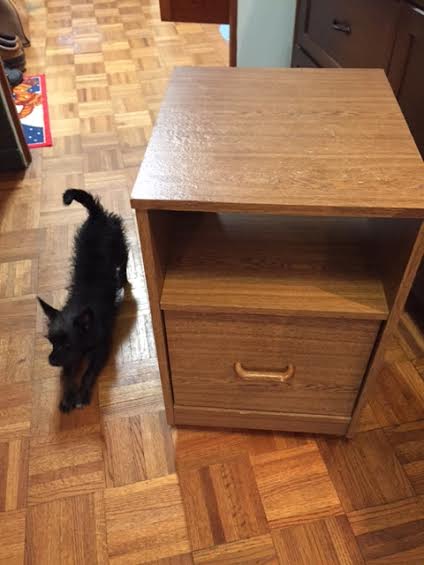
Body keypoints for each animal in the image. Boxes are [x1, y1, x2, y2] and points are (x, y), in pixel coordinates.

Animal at [38, 189, 127, 410]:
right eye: (51, 342)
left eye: (68, 345)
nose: (51, 360)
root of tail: (96, 214)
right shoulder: (70, 360)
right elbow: (67, 375)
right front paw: (67, 396)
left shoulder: (101, 350)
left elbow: (87, 373)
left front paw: (82, 394)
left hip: (120, 250)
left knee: (125, 262)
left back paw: (123, 279)